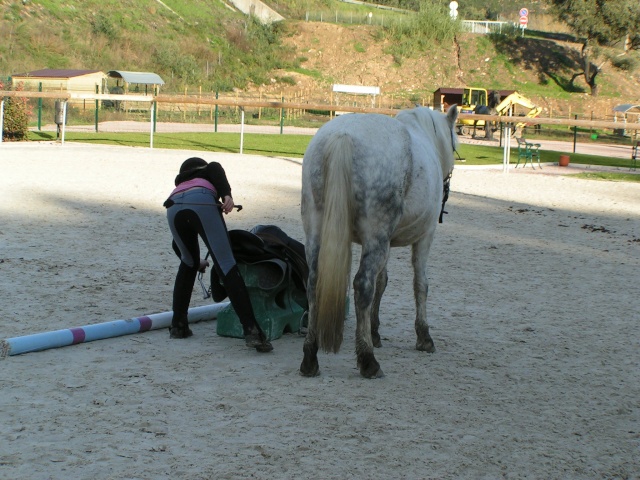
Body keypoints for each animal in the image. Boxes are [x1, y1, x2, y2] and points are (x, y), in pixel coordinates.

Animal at [302, 106, 460, 378]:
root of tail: (342, 135)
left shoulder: (386, 243)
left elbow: (382, 282)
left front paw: (374, 332)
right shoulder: (424, 237)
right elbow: (421, 284)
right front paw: (424, 337)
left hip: (317, 231)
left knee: (314, 283)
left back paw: (311, 356)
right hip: (376, 235)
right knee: (362, 285)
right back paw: (368, 360)